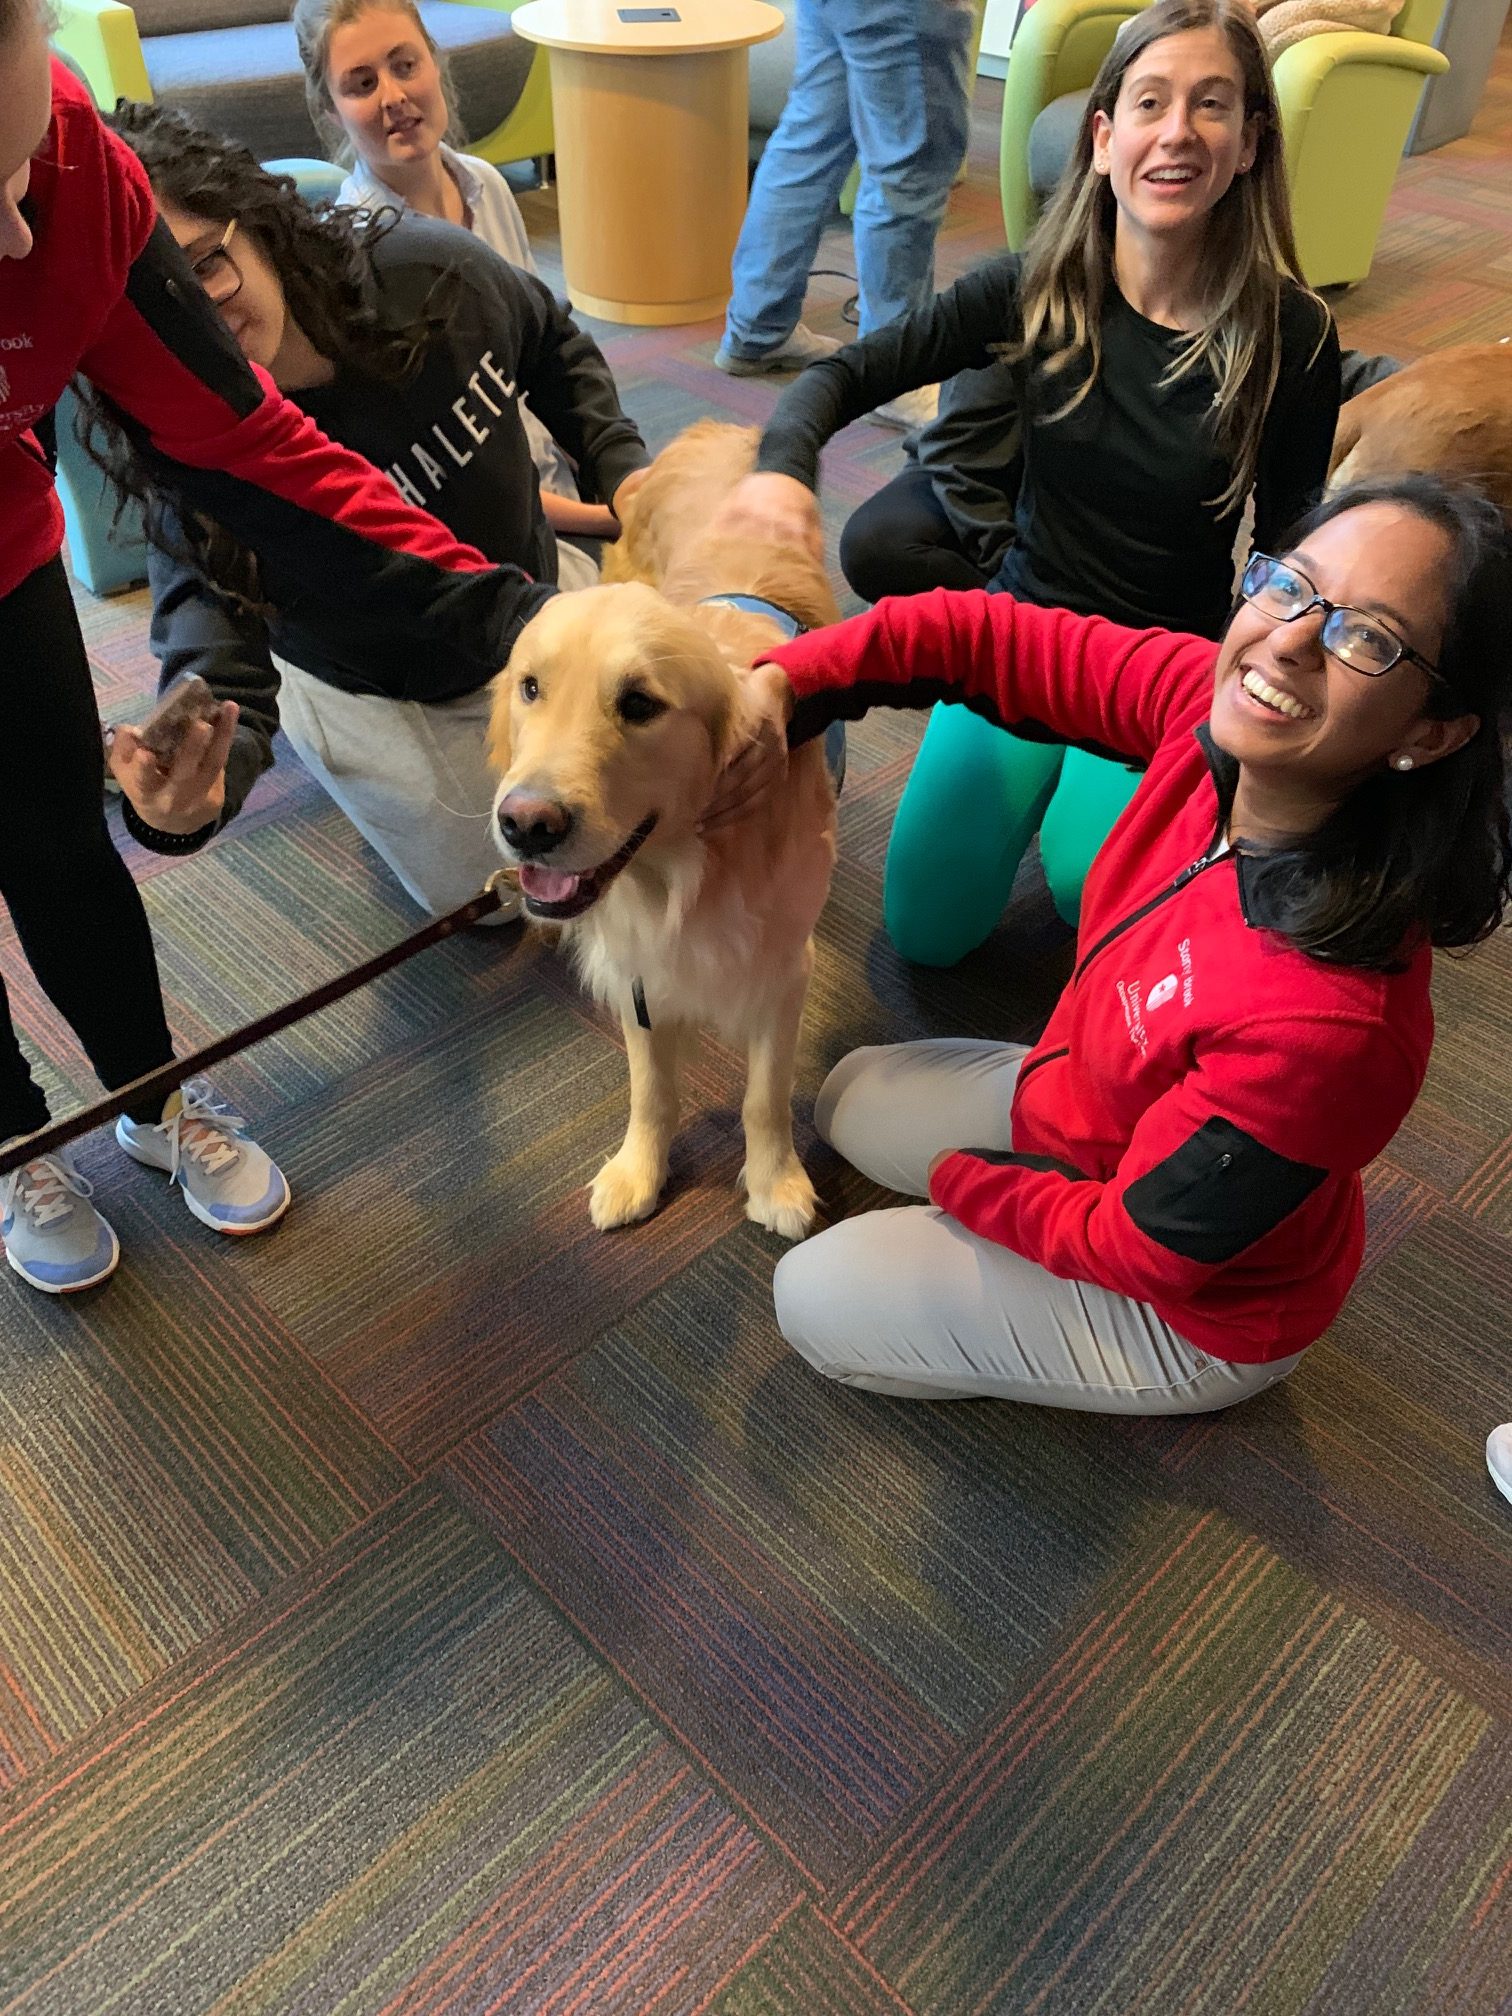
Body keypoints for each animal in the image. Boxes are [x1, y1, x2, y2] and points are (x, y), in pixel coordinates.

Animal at [491, 423, 842, 1233]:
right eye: (531, 687)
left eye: (640, 704)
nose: (525, 824)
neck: (683, 874)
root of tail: (718, 429)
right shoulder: (639, 968)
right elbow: (652, 1087)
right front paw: (637, 1171)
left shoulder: (784, 969)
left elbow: (764, 1095)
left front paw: (775, 1181)